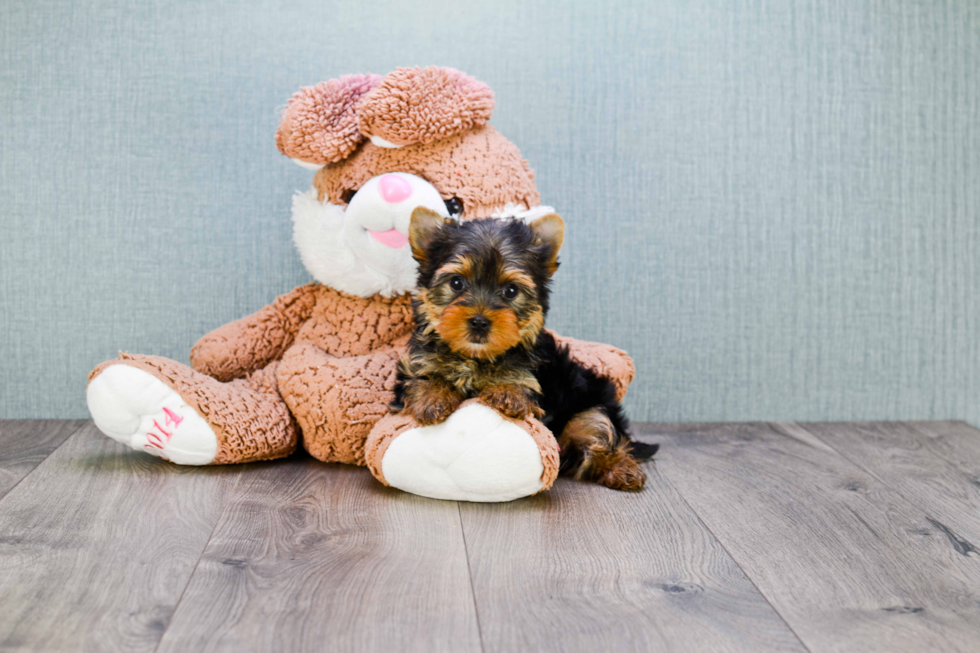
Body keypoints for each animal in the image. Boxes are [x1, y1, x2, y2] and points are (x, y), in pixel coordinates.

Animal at [390, 208, 660, 488]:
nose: (479, 321)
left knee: (597, 434)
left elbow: (521, 380)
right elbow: (422, 378)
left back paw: (621, 469)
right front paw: (432, 397)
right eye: (456, 283)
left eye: (511, 290)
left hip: (588, 405)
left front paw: (508, 391)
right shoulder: (415, 364)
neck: (476, 357)